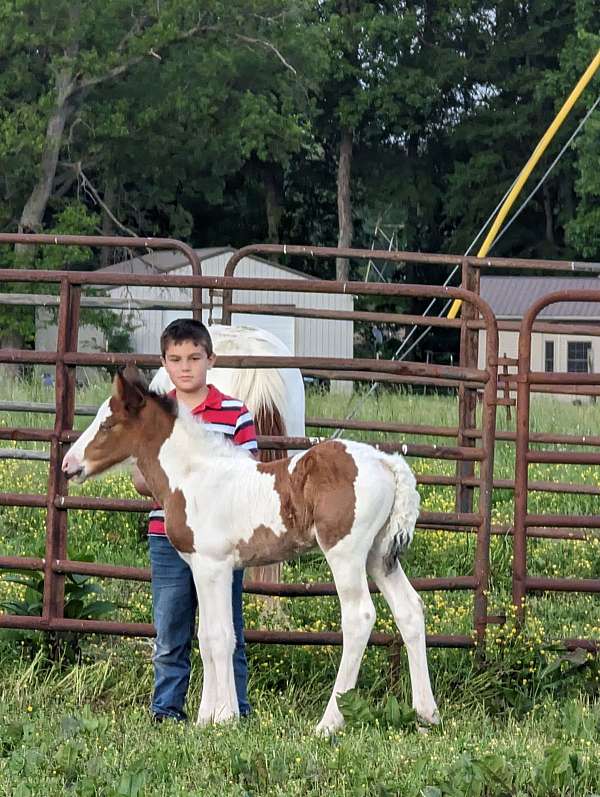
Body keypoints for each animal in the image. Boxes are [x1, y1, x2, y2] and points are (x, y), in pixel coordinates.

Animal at [61, 366, 438, 732]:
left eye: (107, 424)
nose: (68, 465)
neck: (193, 476)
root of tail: (387, 462)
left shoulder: (212, 565)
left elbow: (219, 637)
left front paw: (224, 717)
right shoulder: (205, 567)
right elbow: (208, 636)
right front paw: (205, 718)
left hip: (345, 553)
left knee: (359, 617)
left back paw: (329, 722)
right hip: (379, 555)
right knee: (409, 610)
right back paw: (426, 714)